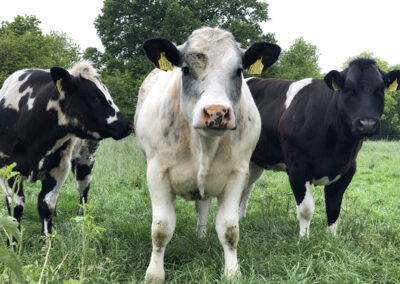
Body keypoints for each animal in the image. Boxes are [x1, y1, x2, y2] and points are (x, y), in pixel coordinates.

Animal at [0, 61, 133, 236]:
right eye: (95, 96)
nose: (127, 125)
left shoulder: (59, 167)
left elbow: (45, 206)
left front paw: (46, 239)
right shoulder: (6, 170)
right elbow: (15, 209)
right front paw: (14, 241)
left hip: (86, 158)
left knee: (83, 190)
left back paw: (81, 218)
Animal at [134, 27, 282, 282]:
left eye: (239, 70)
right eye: (185, 69)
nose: (216, 112)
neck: (204, 144)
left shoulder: (237, 174)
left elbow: (230, 229)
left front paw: (232, 272)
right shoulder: (156, 173)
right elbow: (161, 229)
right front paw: (154, 274)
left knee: (203, 205)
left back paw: (201, 234)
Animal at [239, 58, 400, 239]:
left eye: (380, 90)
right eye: (348, 89)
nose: (367, 124)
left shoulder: (348, 169)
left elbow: (334, 207)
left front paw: (331, 238)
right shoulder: (298, 168)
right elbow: (306, 209)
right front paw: (304, 239)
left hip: (255, 160)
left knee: (247, 187)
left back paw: (241, 218)